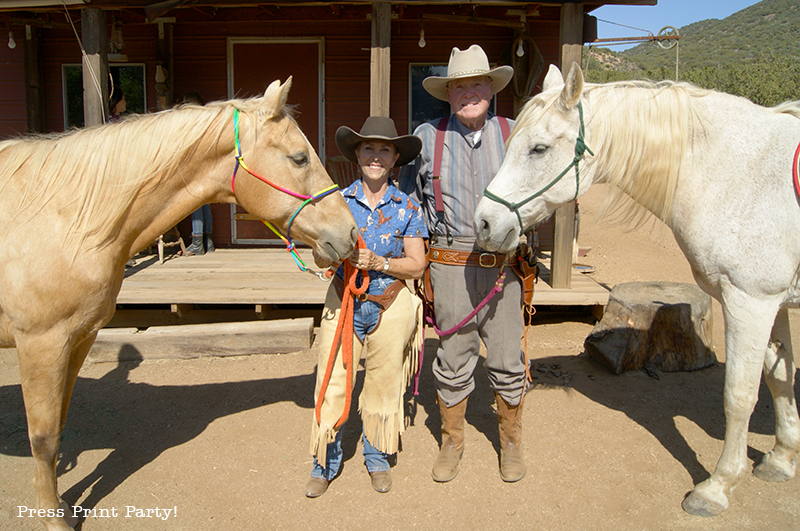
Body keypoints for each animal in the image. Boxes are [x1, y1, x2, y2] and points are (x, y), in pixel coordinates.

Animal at [0, 77, 356, 528]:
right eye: (299, 157)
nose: (351, 233)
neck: (63, 216)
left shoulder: (76, 339)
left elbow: (60, 423)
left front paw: (61, 504)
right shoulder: (41, 342)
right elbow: (43, 437)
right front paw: (53, 517)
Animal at [476, 61, 800, 516]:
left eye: (538, 149)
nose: (484, 223)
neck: (736, 176)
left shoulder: (751, 300)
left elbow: (739, 394)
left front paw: (717, 487)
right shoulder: (775, 303)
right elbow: (779, 376)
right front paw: (782, 459)